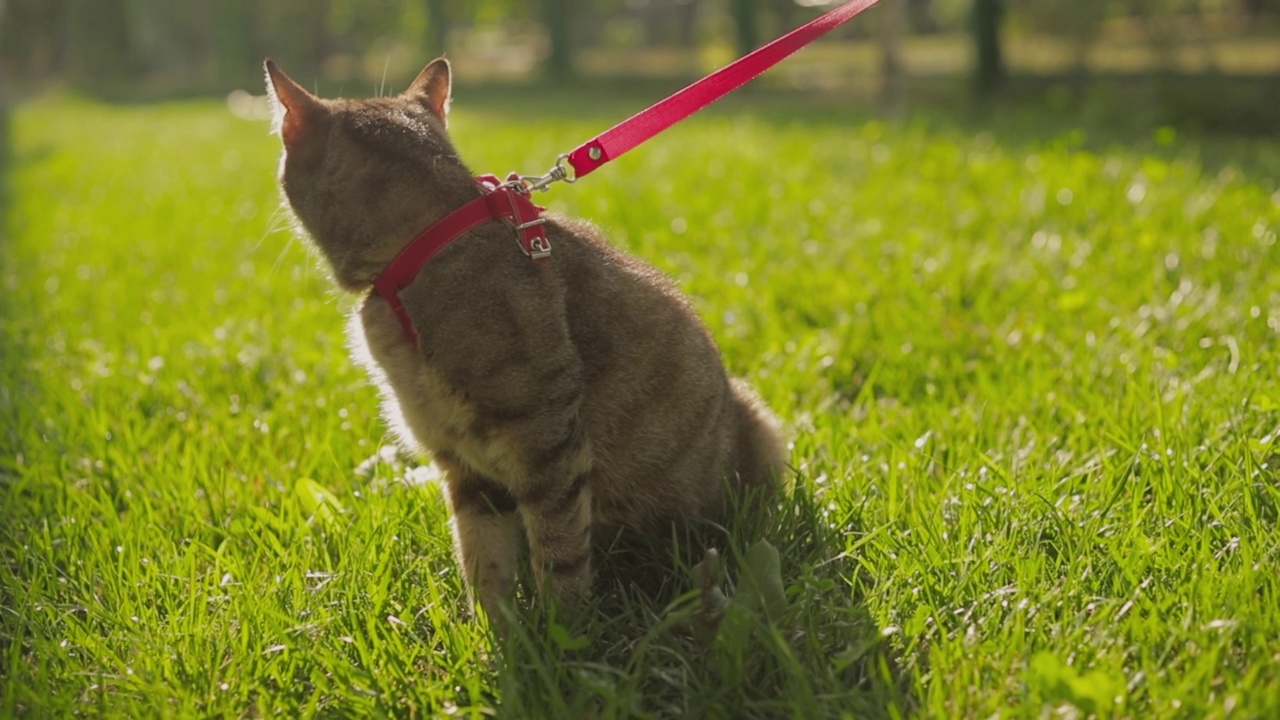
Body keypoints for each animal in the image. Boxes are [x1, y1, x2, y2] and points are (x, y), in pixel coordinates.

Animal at [263, 56, 783, 620]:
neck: (426, 246)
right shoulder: (464, 463)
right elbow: (482, 556)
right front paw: (491, 630)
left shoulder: (544, 436)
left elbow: (558, 550)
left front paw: (560, 631)